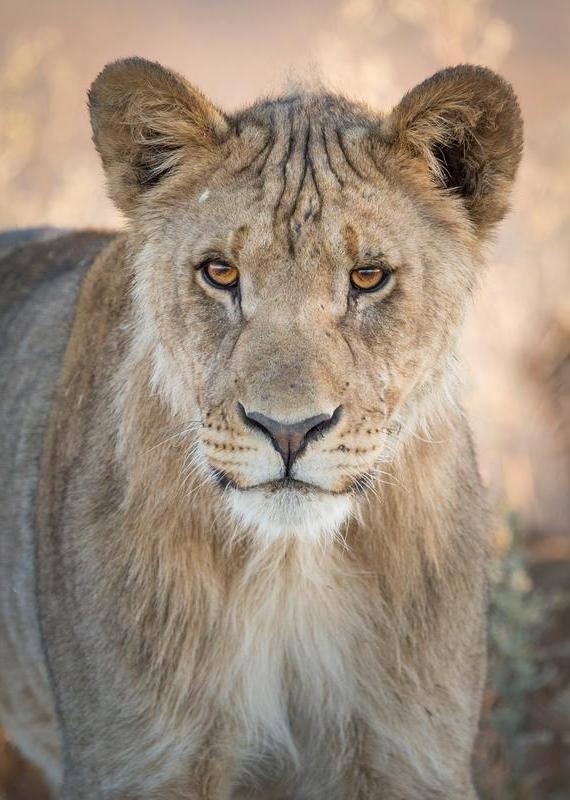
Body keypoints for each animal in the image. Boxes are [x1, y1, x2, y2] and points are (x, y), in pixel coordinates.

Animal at [0, 58, 522, 799]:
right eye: (221, 272)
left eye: (368, 277)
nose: (289, 430)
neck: (290, 571)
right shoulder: (137, 759)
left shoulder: (410, 754)